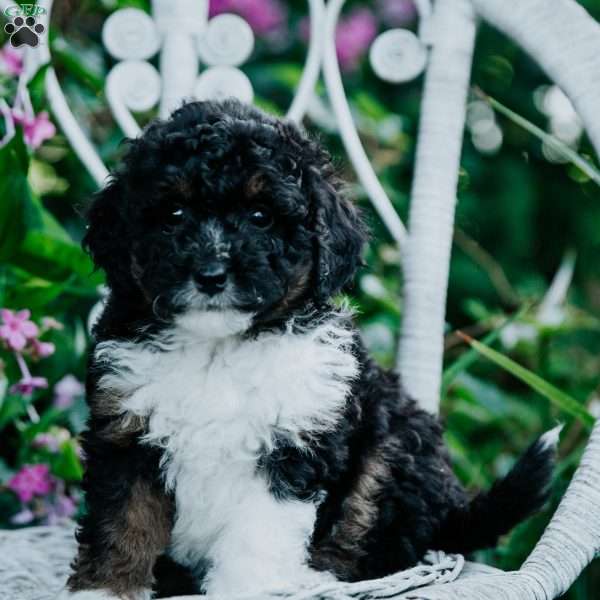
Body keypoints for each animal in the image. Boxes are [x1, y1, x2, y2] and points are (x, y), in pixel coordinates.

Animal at [63, 101, 556, 596]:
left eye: (261, 216)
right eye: (174, 213)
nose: (211, 274)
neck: (217, 346)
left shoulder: (295, 444)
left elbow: (259, 532)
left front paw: (247, 588)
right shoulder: (125, 433)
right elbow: (124, 519)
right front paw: (106, 587)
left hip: (394, 448)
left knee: (370, 529)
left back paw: (316, 574)